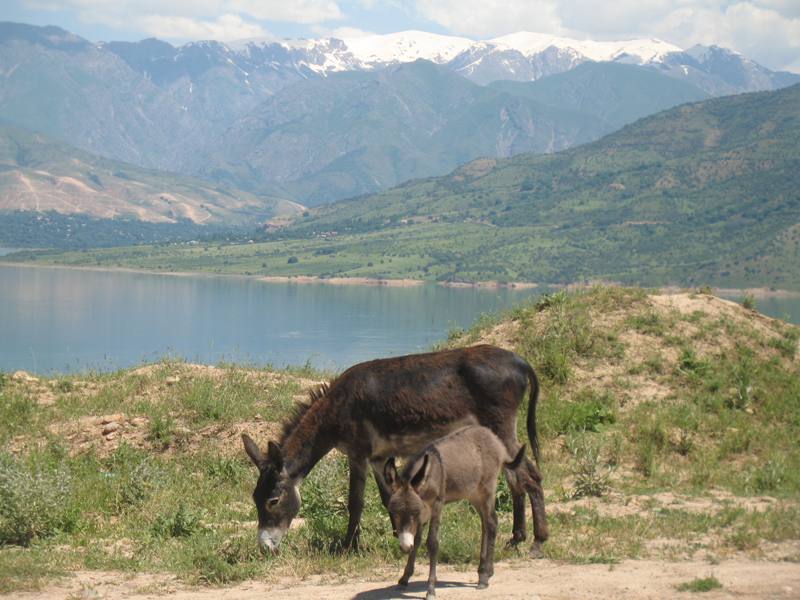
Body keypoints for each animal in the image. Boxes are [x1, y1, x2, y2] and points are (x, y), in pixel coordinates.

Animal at [382, 424, 524, 596]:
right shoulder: (423, 513)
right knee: (487, 523)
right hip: (474, 494)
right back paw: (485, 571)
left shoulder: (435, 507)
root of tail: (495, 440)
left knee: (490, 523)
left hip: (487, 489)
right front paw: (404, 578)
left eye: (415, 512)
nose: (404, 547)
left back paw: (483, 578)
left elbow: (432, 543)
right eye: (393, 513)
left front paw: (431, 588)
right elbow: (416, 541)